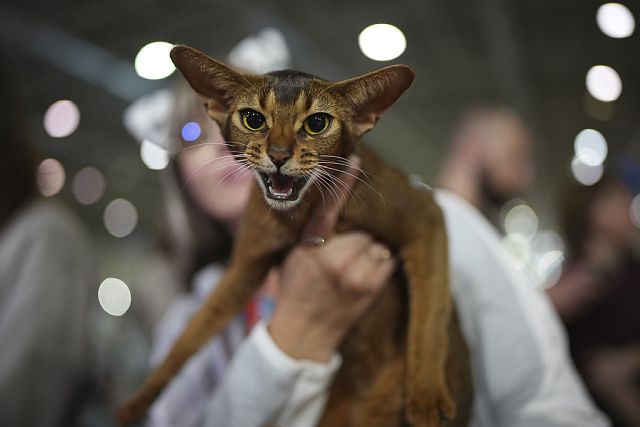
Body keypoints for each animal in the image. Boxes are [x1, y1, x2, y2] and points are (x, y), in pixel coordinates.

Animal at [117, 45, 472, 426]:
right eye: (253, 119)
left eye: (317, 123)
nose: (278, 155)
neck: (302, 213)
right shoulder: (246, 266)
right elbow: (192, 332)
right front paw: (138, 401)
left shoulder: (425, 214)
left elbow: (429, 322)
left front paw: (427, 395)